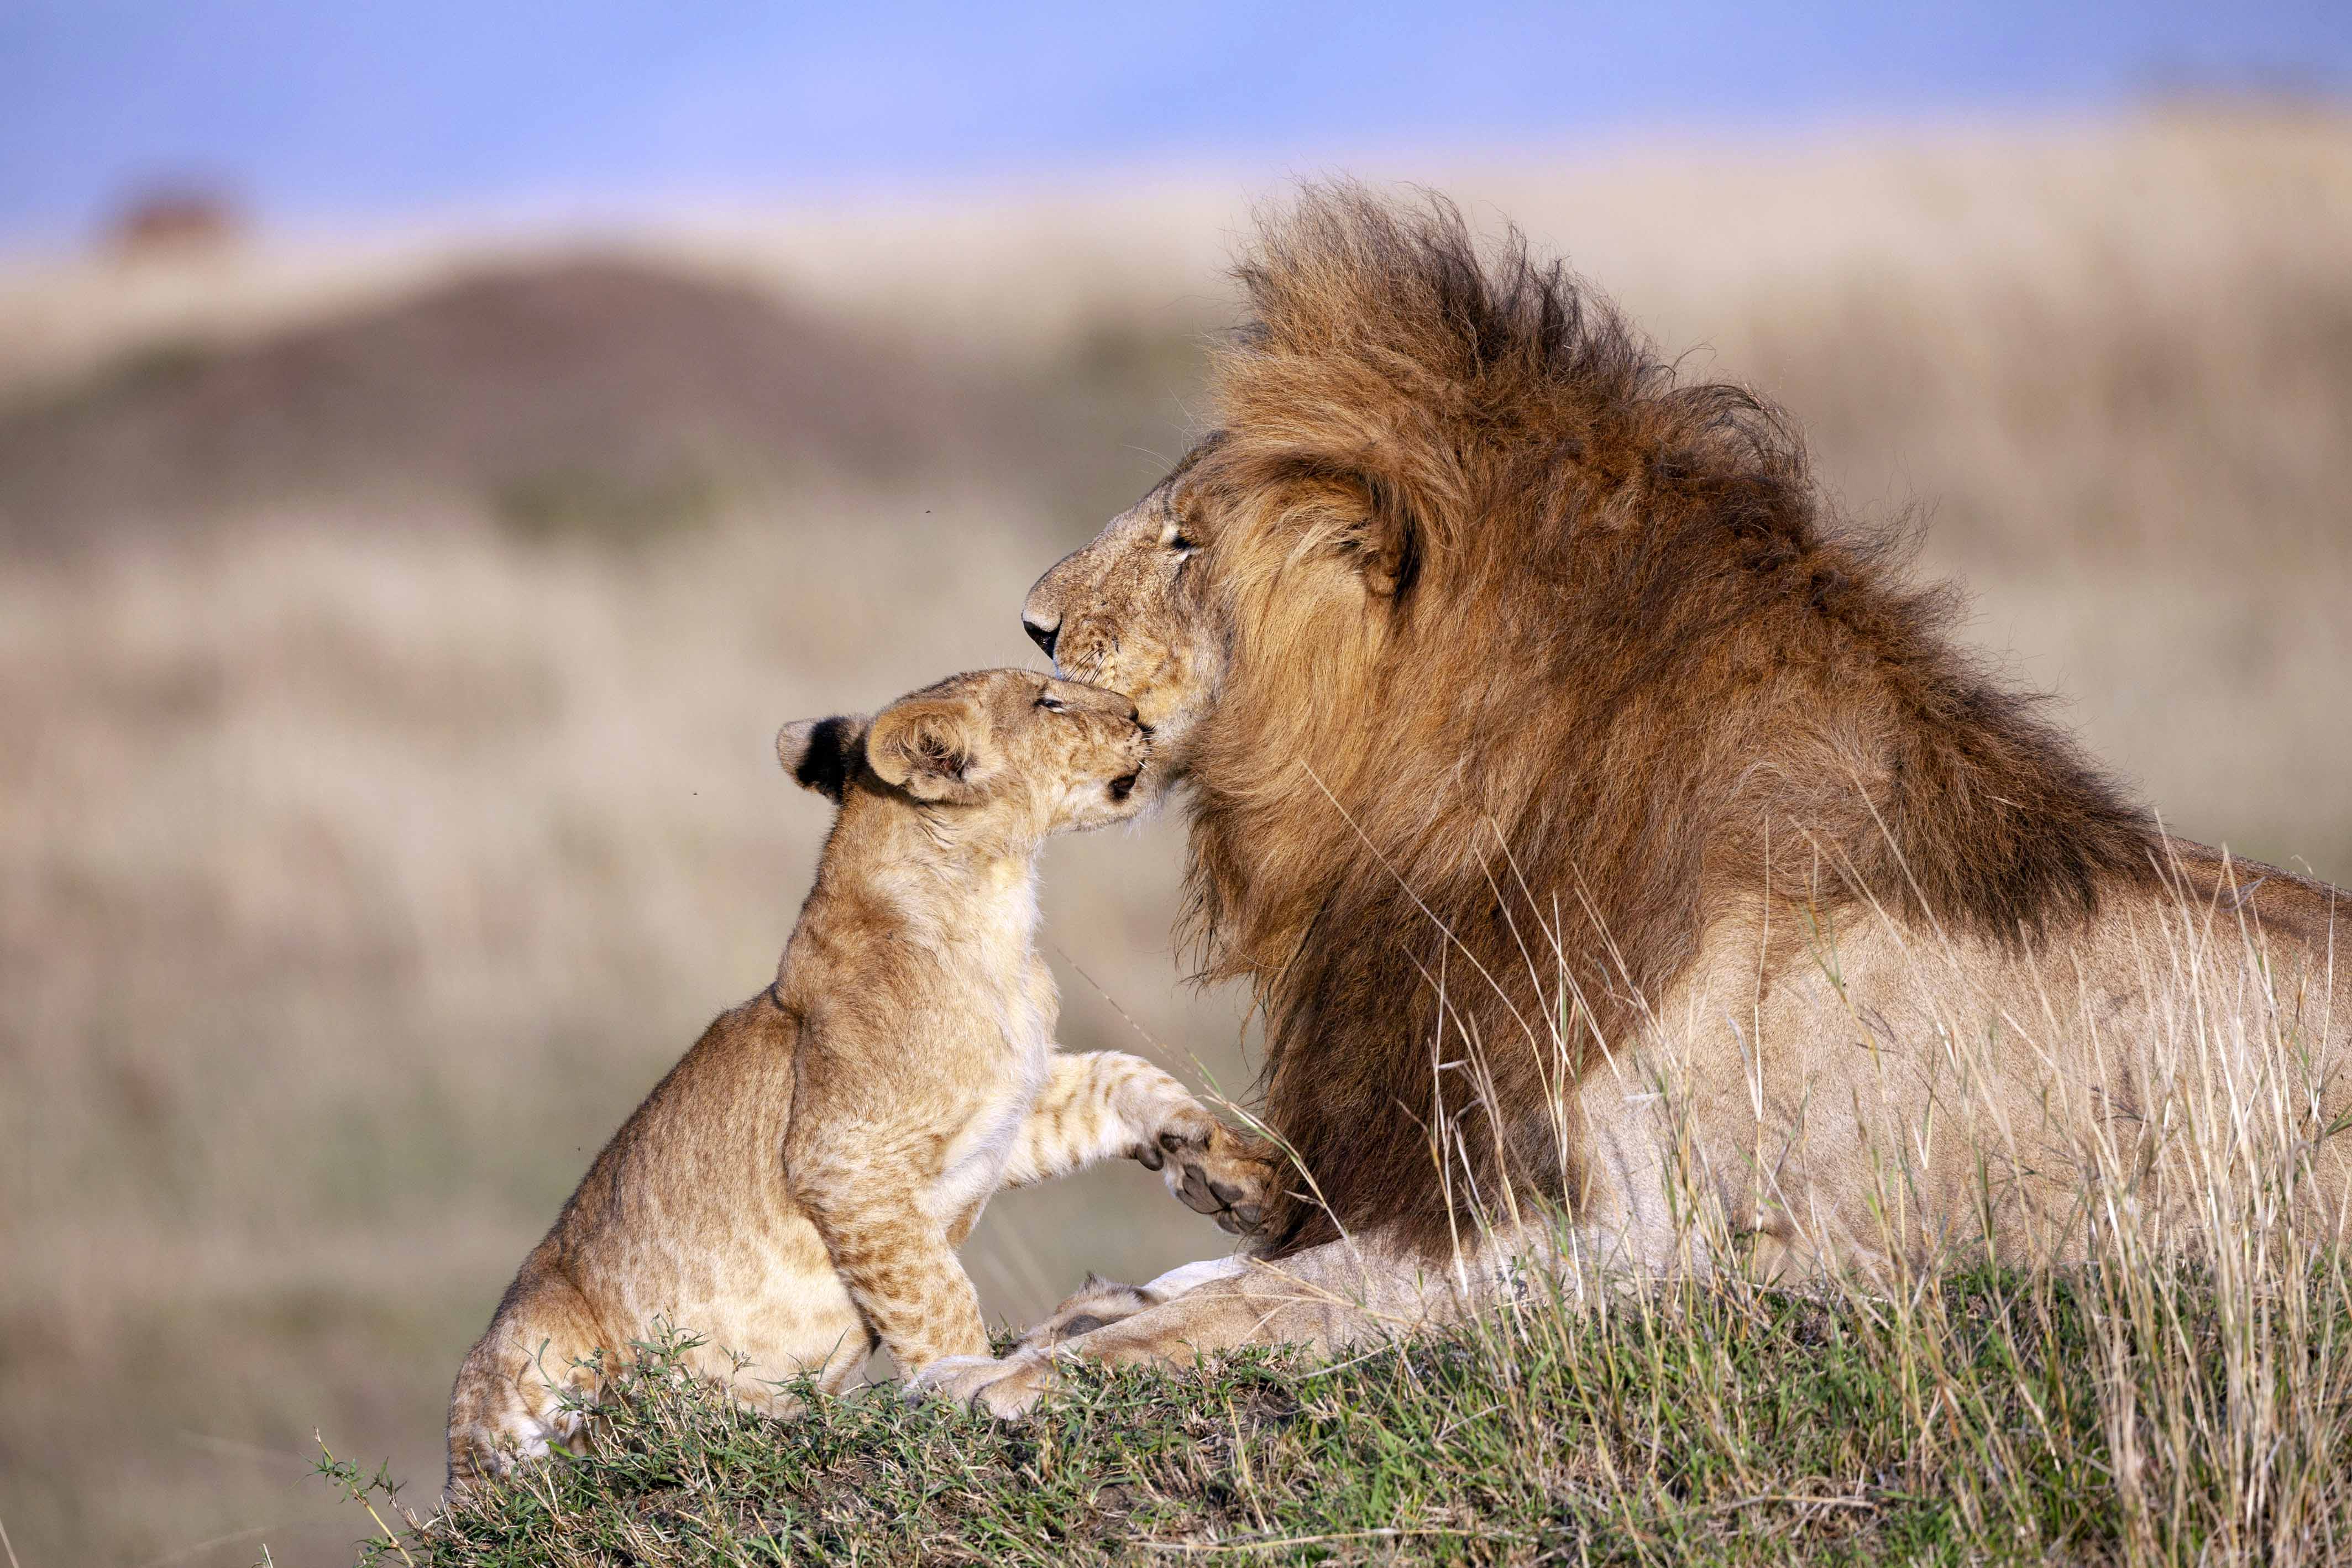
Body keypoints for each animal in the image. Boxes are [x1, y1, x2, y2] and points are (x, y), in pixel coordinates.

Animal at [908, 190, 2342, 1420]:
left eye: (1185, 544)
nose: (1032, 623)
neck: (1451, 816)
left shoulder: (1639, 1243)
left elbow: (1289, 1297)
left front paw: (1025, 1367)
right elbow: (1247, 1272)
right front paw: (1095, 1296)